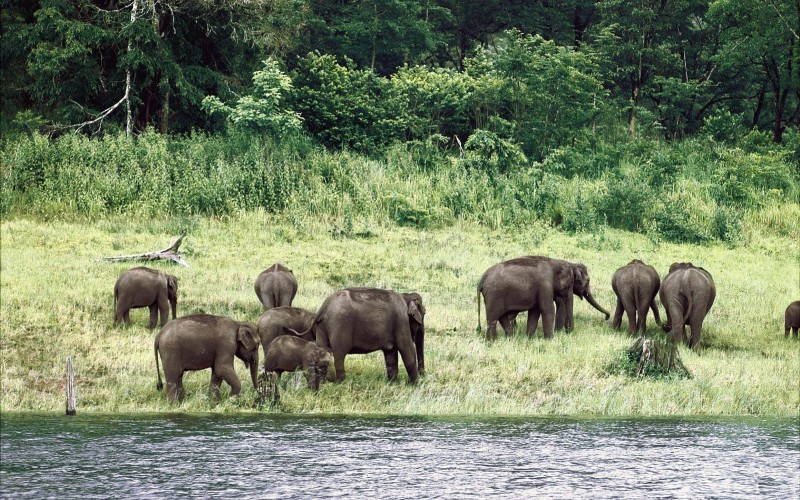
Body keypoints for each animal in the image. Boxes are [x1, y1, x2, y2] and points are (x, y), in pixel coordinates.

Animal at [292, 287, 424, 383]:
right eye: (424, 314)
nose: (423, 376)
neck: (406, 296)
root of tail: (324, 306)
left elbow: (390, 353)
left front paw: (393, 383)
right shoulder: (401, 321)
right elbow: (407, 349)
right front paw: (414, 385)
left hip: (322, 328)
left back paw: (323, 382)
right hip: (340, 327)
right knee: (339, 355)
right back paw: (341, 382)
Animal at [478, 256, 608, 340]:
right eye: (570, 284)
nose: (607, 317)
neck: (556, 262)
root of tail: (481, 280)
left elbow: (535, 311)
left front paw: (529, 338)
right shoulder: (545, 285)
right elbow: (548, 309)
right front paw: (550, 339)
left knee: (502, 317)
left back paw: (509, 337)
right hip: (494, 296)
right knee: (493, 318)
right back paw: (492, 341)